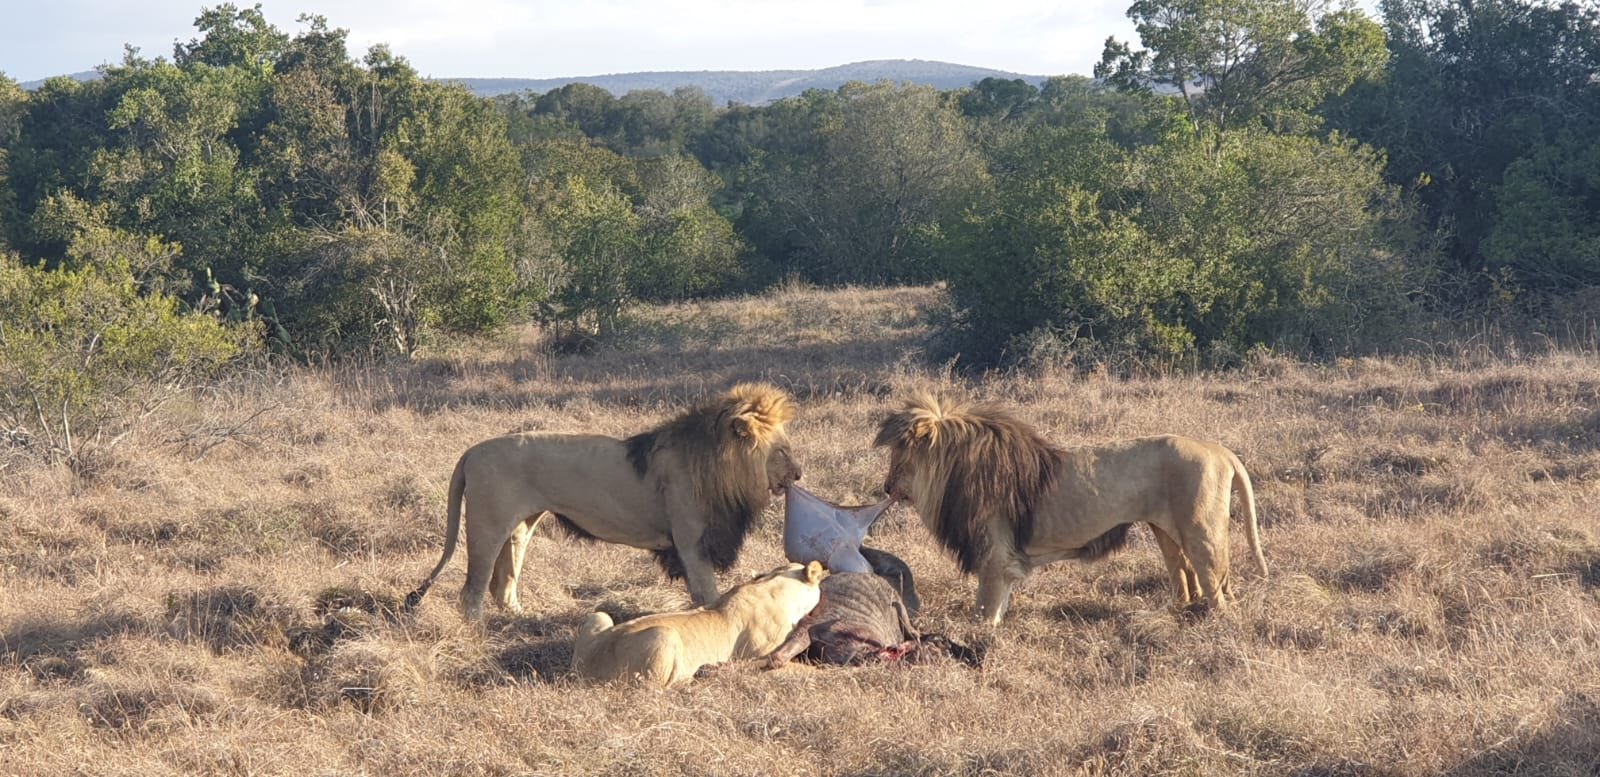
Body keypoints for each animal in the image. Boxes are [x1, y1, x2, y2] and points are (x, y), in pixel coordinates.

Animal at [405, 383, 802, 622]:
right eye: (782, 451)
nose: (799, 474)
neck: (719, 467)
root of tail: (471, 451)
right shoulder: (691, 542)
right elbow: (707, 592)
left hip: (520, 527)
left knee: (502, 581)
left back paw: (521, 616)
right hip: (486, 526)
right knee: (472, 587)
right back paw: (477, 627)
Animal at [572, 561, 827, 687]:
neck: (771, 584)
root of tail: (587, 669)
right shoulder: (764, 655)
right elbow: (799, 669)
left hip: (600, 616)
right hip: (664, 635)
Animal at [875, 394, 1267, 624]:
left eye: (900, 456)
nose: (886, 488)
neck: (951, 474)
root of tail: (1219, 450)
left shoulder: (994, 554)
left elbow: (986, 606)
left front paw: (979, 635)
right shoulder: (1004, 559)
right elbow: (1000, 602)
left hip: (1201, 532)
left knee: (1216, 588)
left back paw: (1214, 625)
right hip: (1167, 532)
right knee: (1186, 580)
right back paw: (1168, 615)